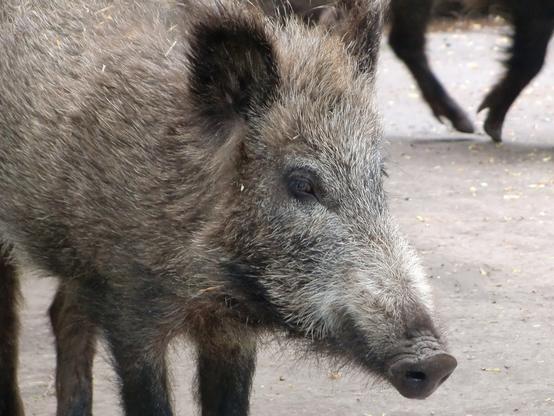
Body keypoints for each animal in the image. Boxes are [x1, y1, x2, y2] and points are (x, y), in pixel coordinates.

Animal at [0, 1, 456, 415]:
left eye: (379, 174)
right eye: (302, 184)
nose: (437, 360)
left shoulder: (231, 333)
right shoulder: (128, 306)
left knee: (62, 315)